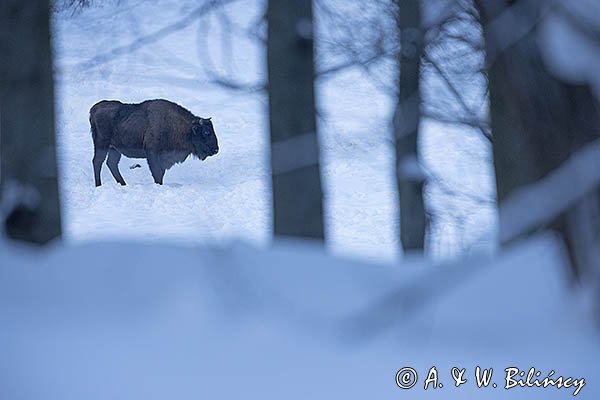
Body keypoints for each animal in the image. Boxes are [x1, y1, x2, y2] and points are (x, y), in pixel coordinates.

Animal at [90, 100, 219, 188]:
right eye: (206, 132)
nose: (216, 149)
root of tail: (94, 109)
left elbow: (160, 173)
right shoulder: (152, 154)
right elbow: (157, 173)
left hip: (115, 149)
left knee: (111, 163)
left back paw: (123, 184)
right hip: (102, 145)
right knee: (98, 162)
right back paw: (98, 185)